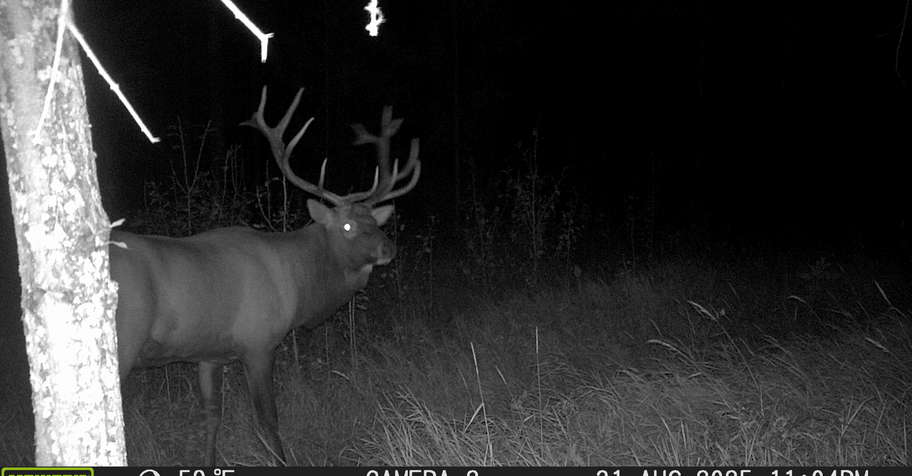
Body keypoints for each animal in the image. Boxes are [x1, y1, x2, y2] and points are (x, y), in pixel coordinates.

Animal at [109, 86, 420, 465]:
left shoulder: (209, 353)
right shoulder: (258, 342)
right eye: (347, 226)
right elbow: (267, 421)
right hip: (124, 340)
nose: (389, 248)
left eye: (375, 221)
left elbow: (212, 416)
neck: (298, 284)